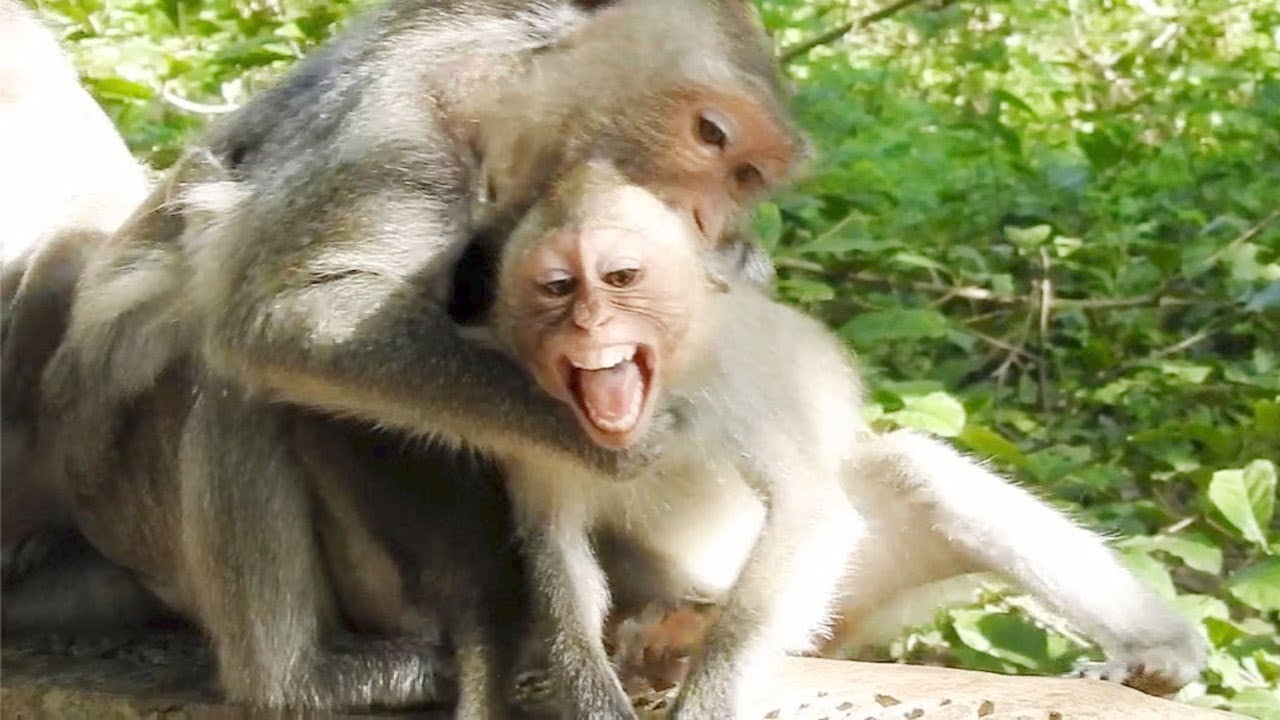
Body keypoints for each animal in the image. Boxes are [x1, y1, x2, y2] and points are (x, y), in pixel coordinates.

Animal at [32, 0, 805, 711]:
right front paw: (616, 441)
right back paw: (298, 682)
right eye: (710, 134)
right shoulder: (400, 129)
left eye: (747, 175)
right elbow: (291, 316)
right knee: (234, 375)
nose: (706, 218)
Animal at [464, 159, 1208, 719]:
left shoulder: (742, 380)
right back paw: (658, 637)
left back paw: (1160, 652)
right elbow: (556, 546)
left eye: (620, 279)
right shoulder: (524, 418)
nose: (588, 321)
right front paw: (587, 693)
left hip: (846, 592)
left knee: (916, 472)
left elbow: (808, 511)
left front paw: (707, 700)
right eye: (558, 287)